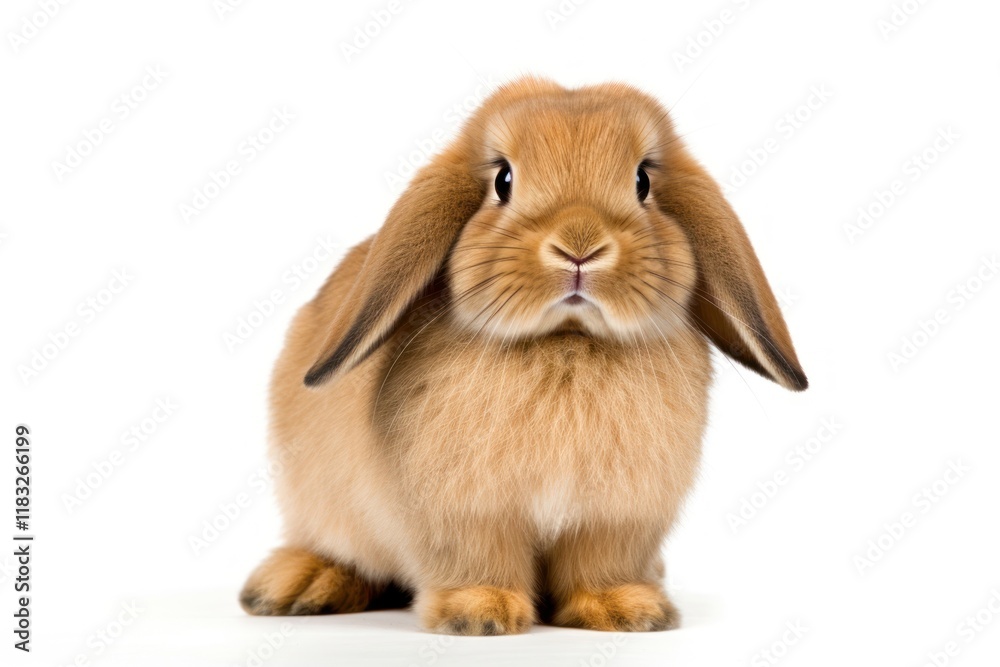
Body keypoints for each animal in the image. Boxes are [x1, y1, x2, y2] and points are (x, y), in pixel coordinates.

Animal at [239, 76, 807, 635]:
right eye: (503, 180)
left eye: (643, 181)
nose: (580, 246)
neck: (566, 342)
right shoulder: (464, 515)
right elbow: (475, 559)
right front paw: (480, 612)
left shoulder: (617, 519)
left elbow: (600, 564)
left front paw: (624, 609)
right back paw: (298, 585)